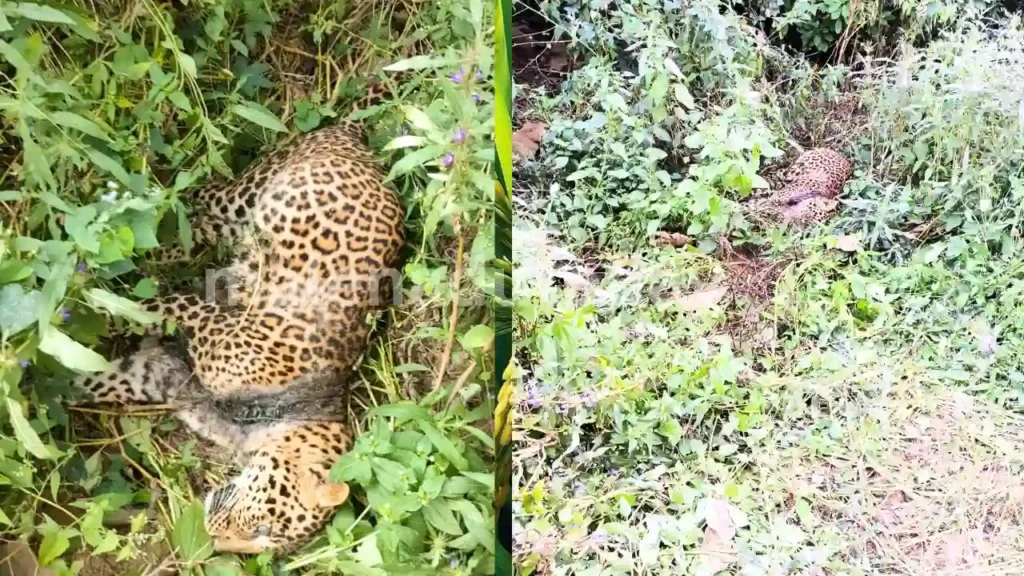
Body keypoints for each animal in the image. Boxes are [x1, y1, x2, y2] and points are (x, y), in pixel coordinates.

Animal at [64, 74, 407, 555]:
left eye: (266, 544)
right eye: (266, 522)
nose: (215, 540)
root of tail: (361, 143)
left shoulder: (160, 375)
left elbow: (93, 377)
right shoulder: (216, 328)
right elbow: (152, 307)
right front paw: (80, 312)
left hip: (236, 226)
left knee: (199, 228)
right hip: (250, 190)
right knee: (200, 190)